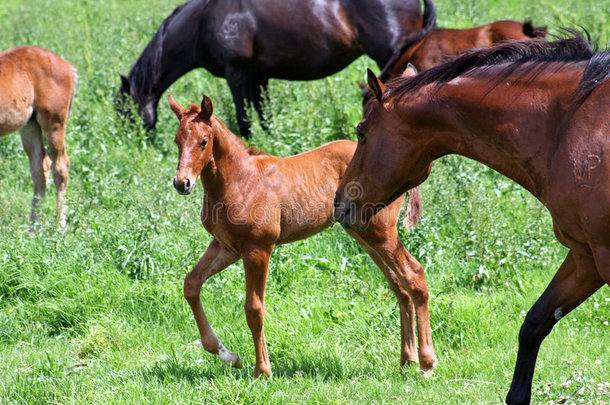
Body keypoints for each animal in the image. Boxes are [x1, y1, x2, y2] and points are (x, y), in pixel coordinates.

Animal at [0, 46, 76, 227]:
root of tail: (65, 64)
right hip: (30, 126)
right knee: (41, 169)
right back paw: (33, 228)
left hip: (54, 123)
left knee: (60, 167)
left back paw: (59, 226)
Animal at [117, 0, 432, 137]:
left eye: (125, 110)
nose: (131, 143)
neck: (203, 21)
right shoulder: (259, 76)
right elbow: (264, 115)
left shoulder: (237, 73)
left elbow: (244, 119)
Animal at [166, 94, 432, 376]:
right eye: (177, 140)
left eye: (203, 142)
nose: (182, 183)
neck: (239, 179)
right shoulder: (225, 247)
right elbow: (191, 285)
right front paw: (230, 357)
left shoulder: (258, 248)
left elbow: (254, 308)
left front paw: (263, 370)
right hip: (364, 235)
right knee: (399, 286)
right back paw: (407, 361)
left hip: (380, 232)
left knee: (413, 273)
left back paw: (425, 363)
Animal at [332, 33, 608, 402]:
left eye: (361, 132)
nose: (339, 202)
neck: (568, 126)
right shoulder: (584, 256)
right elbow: (534, 323)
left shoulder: (603, 255)